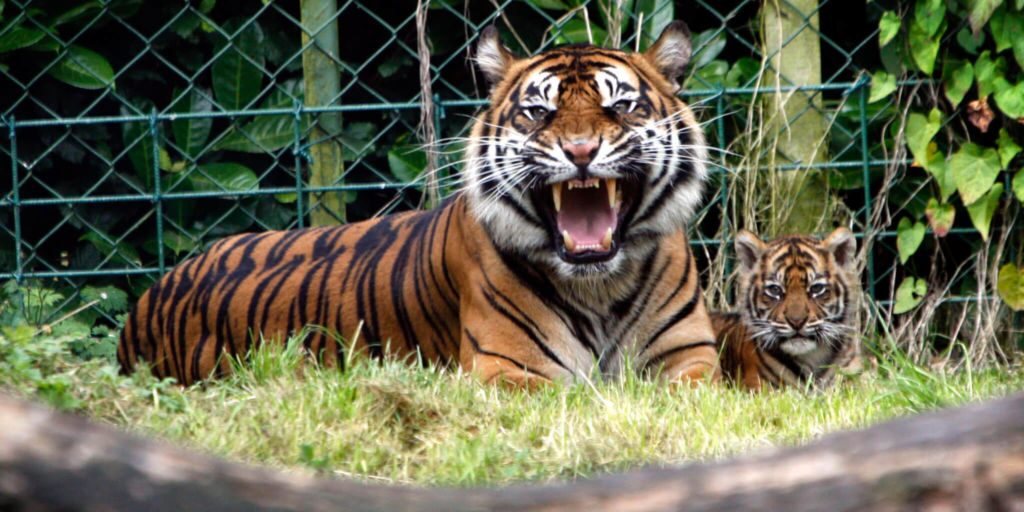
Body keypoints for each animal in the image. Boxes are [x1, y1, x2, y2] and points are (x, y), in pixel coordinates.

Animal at [118, 21, 719, 387]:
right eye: (538, 113)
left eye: (621, 106)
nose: (580, 150)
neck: (599, 288)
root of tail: (150, 296)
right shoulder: (510, 370)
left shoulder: (690, 357)